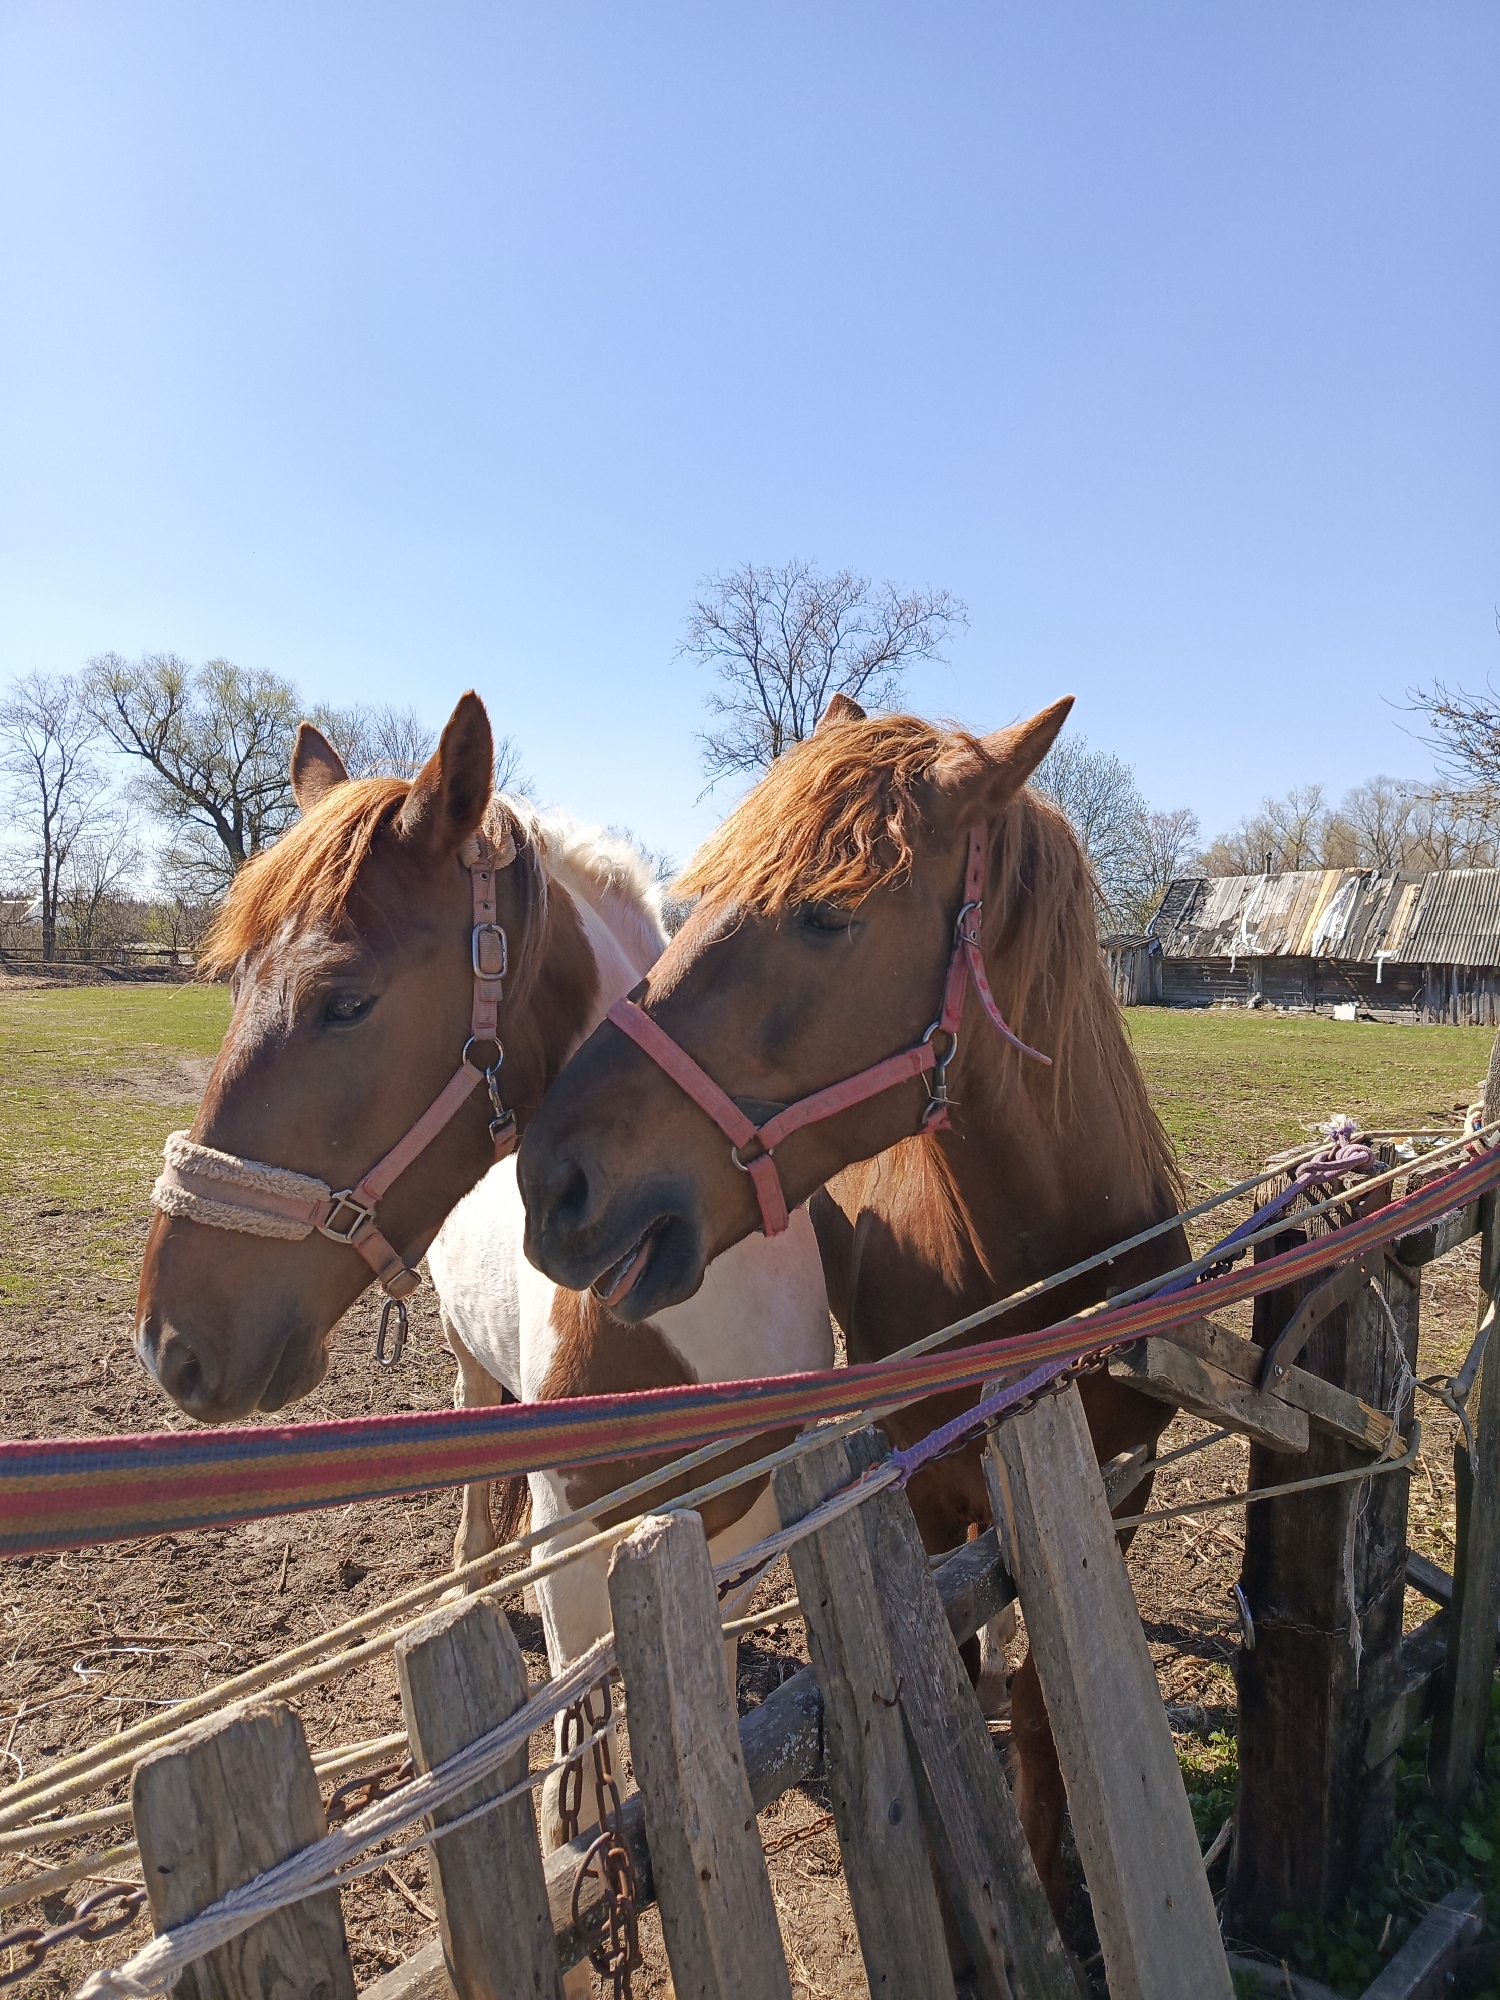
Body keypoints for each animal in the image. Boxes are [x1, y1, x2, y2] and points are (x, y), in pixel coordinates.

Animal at [133, 690, 832, 1887]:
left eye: (345, 1000)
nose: (171, 1340)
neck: (694, 1323)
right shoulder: (572, 1531)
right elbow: (583, 1684)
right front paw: (575, 1816)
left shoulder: (748, 1519)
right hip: (468, 1367)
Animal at [517, 694, 1188, 1914]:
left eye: (828, 916)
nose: (552, 1177)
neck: (1043, 1267)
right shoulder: (924, 1490)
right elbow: (959, 1675)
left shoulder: (1119, 1486)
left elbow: (1043, 1712)